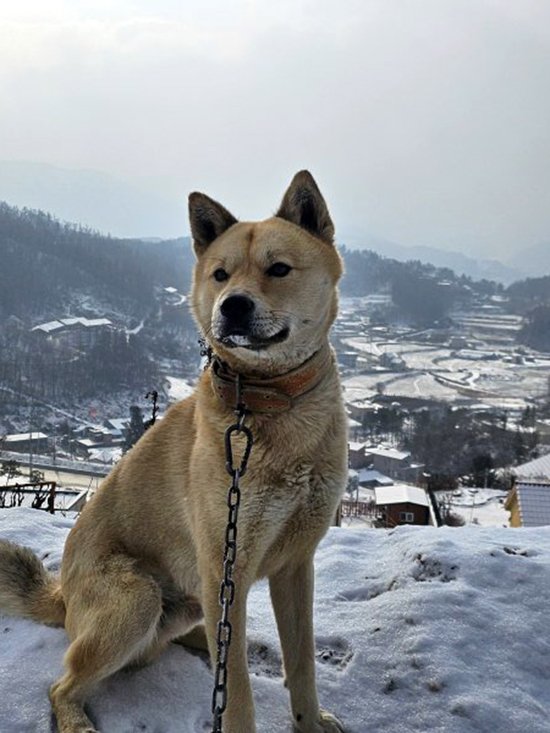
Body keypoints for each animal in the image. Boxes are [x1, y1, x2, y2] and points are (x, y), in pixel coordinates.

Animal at [0, 170, 350, 732]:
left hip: (189, 601)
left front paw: (309, 721)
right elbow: (238, 693)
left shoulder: (296, 566)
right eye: (220, 275)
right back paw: (76, 718)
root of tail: (64, 596)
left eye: (278, 268)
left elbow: (302, 664)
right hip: (138, 598)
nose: (232, 305)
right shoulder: (225, 571)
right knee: (62, 684)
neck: (269, 401)